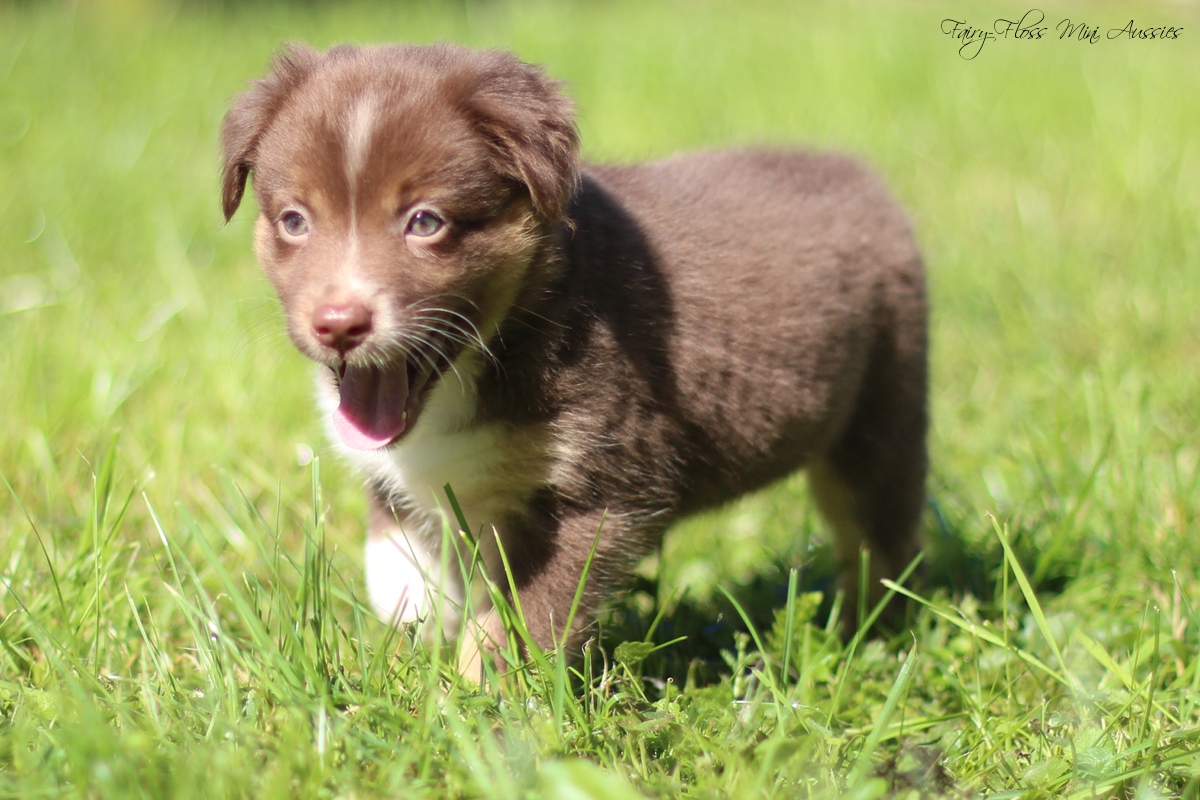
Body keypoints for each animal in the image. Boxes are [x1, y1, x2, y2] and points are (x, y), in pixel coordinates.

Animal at [218, 40, 926, 671]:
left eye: (425, 222)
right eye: (294, 221)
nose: (338, 324)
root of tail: (857, 175)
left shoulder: (600, 489)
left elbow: (523, 619)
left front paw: (475, 706)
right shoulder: (402, 485)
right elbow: (400, 574)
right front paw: (400, 661)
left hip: (881, 415)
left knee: (880, 540)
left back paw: (869, 640)